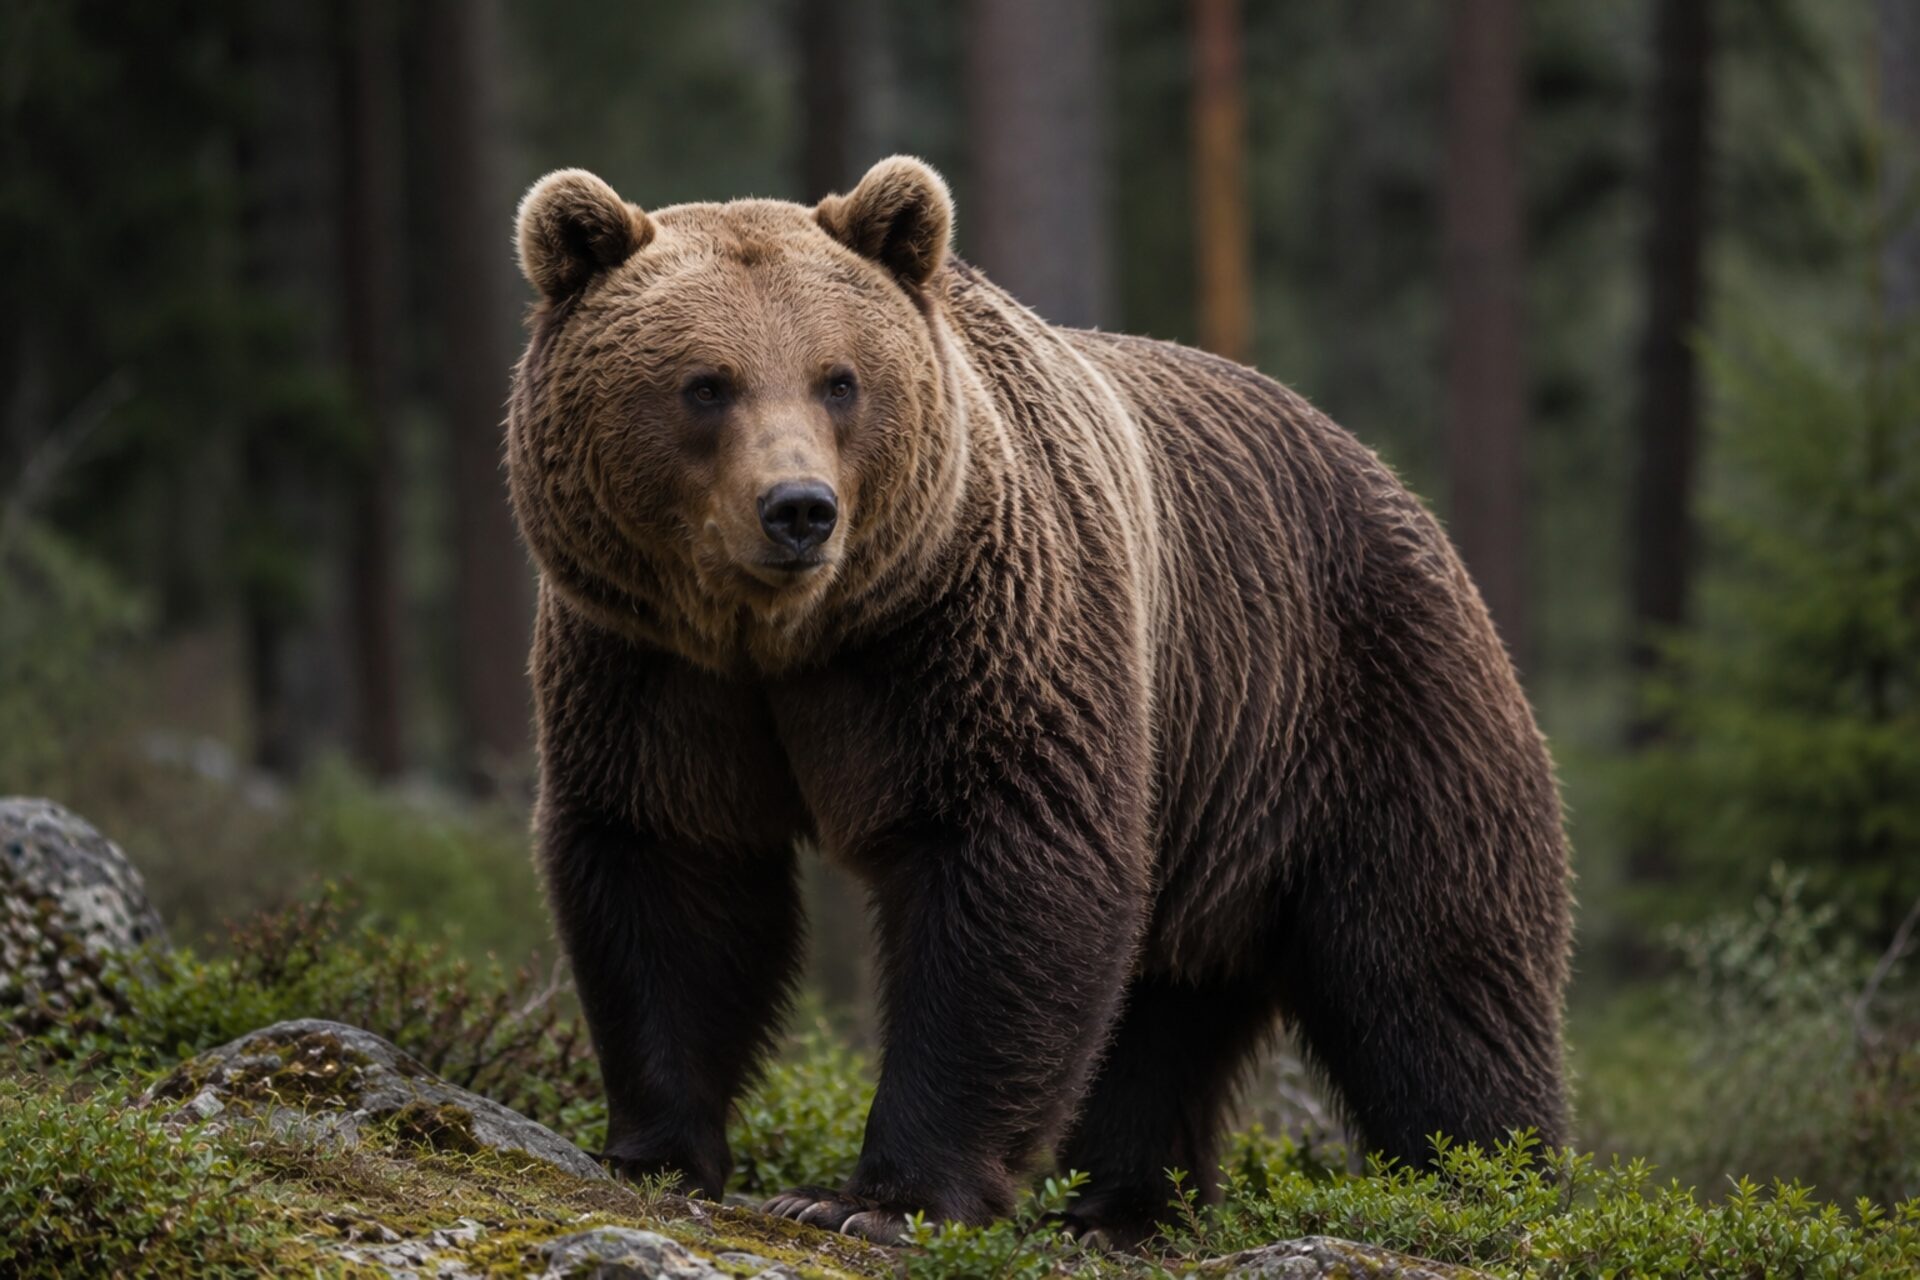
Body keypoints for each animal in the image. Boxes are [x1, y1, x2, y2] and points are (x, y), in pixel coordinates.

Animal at [505, 156, 1571, 1246]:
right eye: (706, 384)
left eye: (839, 379)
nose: (799, 509)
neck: (794, 637)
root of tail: (1401, 492)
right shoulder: (654, 667)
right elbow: (671, 868)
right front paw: (658, 1149)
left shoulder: (972, 629)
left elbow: (1012, 864)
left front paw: (874, 1196)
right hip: (1213, 795)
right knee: (1167, 1005)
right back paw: (1122, 1203)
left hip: (1370, 701)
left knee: (1432, 974)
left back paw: (1489, 1186)